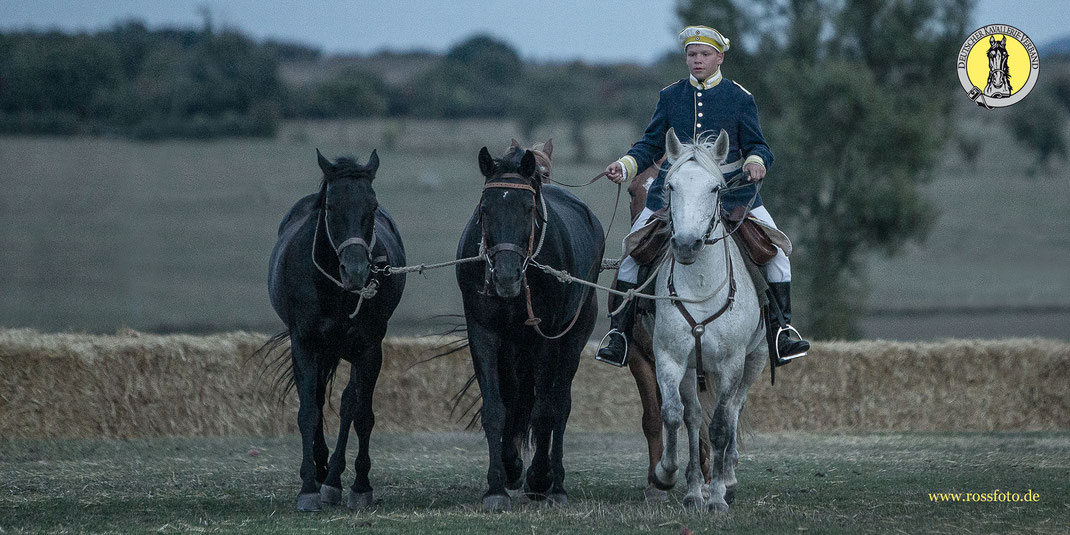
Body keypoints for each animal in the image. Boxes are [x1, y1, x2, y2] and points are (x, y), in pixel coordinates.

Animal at [265, 148, 402, 511]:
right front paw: (308, 487)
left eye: (372, 207)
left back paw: (333, 478)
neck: (336, 290)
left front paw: (359, 486)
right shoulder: (305, 344)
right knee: (314, 398)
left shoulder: (369, 348)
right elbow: (308, 411)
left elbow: (361, 413)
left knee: (347, 404)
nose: (355, 271)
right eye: (331, 207)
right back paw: (320, 471)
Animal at [453, 143, 607, 509]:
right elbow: (497, 408)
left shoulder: (545, 338)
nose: (506, 277)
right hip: (514, 349)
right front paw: (498, 484)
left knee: (559, 404)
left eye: (528, 208)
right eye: (485, 209)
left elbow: (544, 411)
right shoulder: (484, 333)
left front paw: (538, 478)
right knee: (517, 399)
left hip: (571, 338)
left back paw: (555, 483)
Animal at [646, 127, 766, 511]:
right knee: (695, 415)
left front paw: (716, 498)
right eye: (671, 186)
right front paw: (670, 475)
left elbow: (720, 427)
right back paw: (696, 487)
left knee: (733, 411)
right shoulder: (670, 358)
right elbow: (676, 414)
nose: (686, 245)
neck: (700, 287)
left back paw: (726, 479)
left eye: (715, 188)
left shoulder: (731, 364)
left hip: (755, 360)